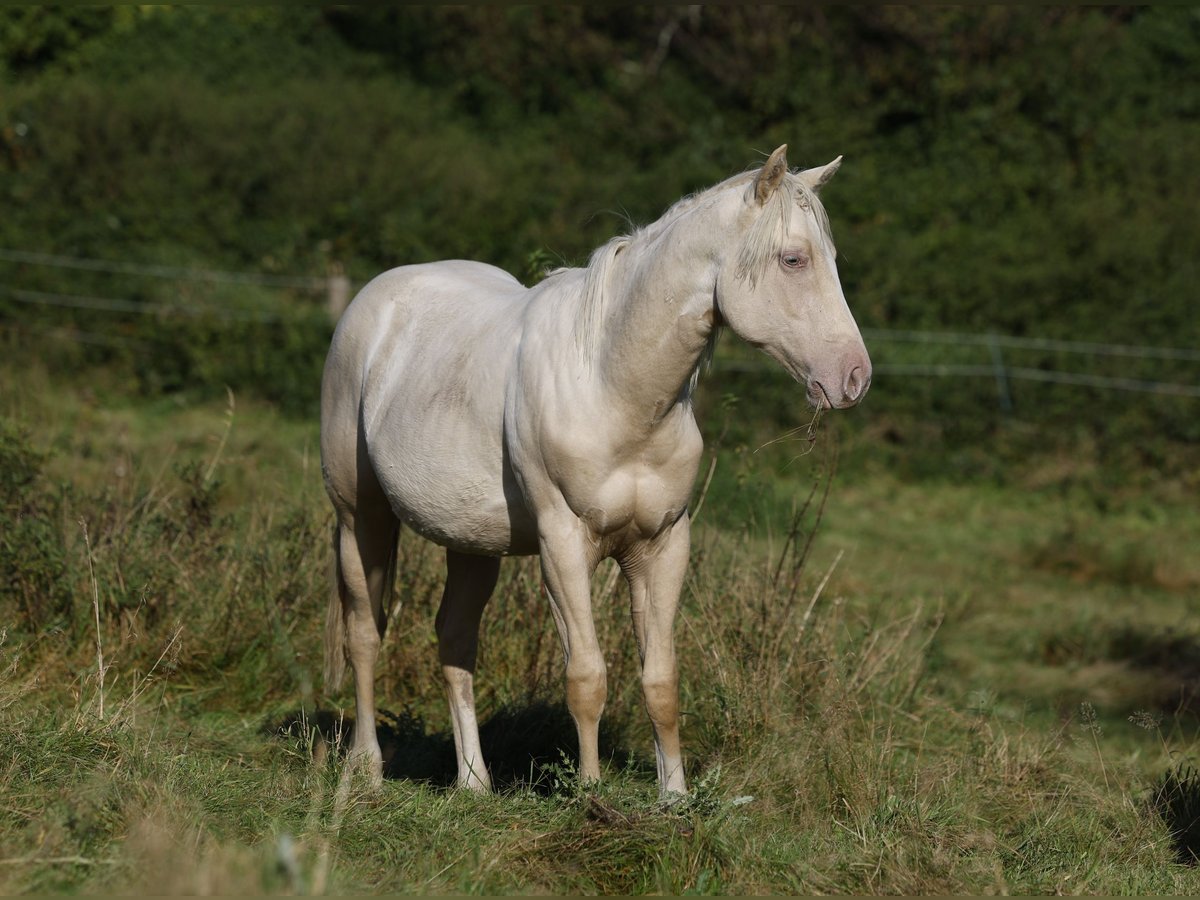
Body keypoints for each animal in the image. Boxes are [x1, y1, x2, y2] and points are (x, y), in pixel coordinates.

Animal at [319, 144, 873, 801]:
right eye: (793, 259)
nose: (854, 377)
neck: (614, 387)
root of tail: (373, 303)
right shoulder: (563, 544)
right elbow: (587, 677)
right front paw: (589, 794)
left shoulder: (662, 546)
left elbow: (661, 681)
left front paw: (673, 797)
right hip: (360, 518)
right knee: (364, 633)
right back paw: (367, 769)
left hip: (471, 543)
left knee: (455, 641)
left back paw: (474, 783)